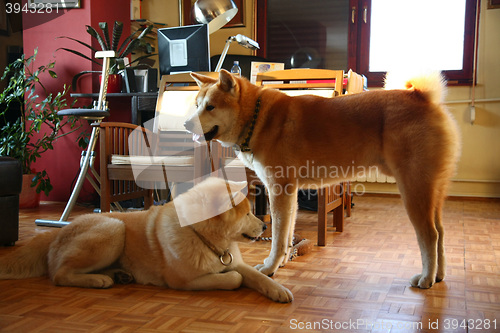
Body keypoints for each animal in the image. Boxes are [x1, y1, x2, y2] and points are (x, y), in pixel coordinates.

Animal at [0, 178, 292, 302]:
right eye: (247, 213)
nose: (265, 224)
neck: (205, 238)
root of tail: (59, 230)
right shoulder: (184, 282)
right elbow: (234, 279)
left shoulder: (234, 261)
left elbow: (257, 276)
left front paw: (279, 290)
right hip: (113, 229)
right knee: (59, 274)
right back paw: (99, 280)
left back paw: (118, 275)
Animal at [185, 69, 460, 288]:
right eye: (197, 104)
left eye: (210, 107)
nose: (187, 124)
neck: (257, 117)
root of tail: (422, 96)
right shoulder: (289, 194)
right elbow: (287, 235)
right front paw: (283, 261)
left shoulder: (279, 190)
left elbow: (277, 237)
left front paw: (270, 268)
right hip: (432, 191)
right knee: (441, 232)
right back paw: (439, 275)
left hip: (414, 190)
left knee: (430, 235)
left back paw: (426, 278)